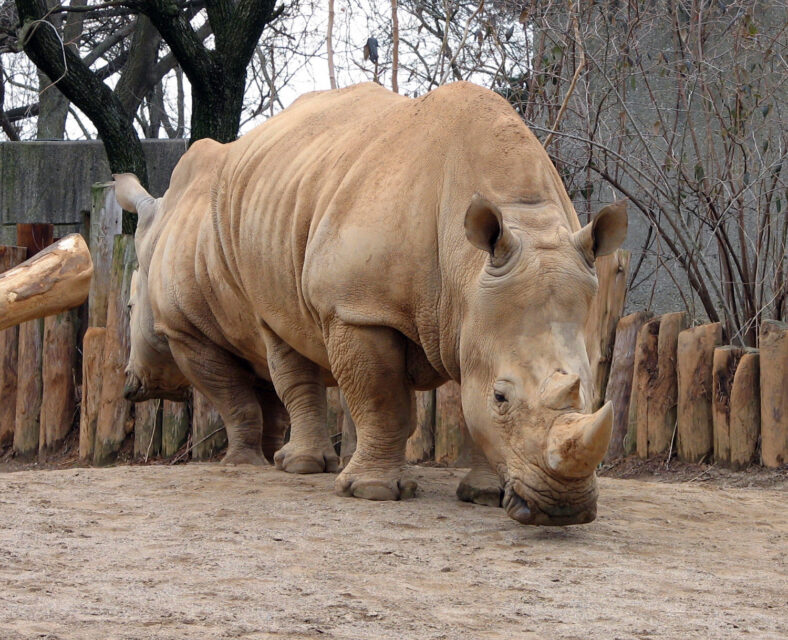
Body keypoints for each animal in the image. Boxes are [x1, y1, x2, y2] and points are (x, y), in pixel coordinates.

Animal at [115, 82, 627, 526]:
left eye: (590, 391)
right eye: (502, 396)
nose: (562, 510)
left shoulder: (474, 314)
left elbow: (468, 403)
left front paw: (482, 495)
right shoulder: (359, 307)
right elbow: (382, 397)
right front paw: (373, 492)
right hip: (255, 248)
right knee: (279, 338)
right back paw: (292, 468)